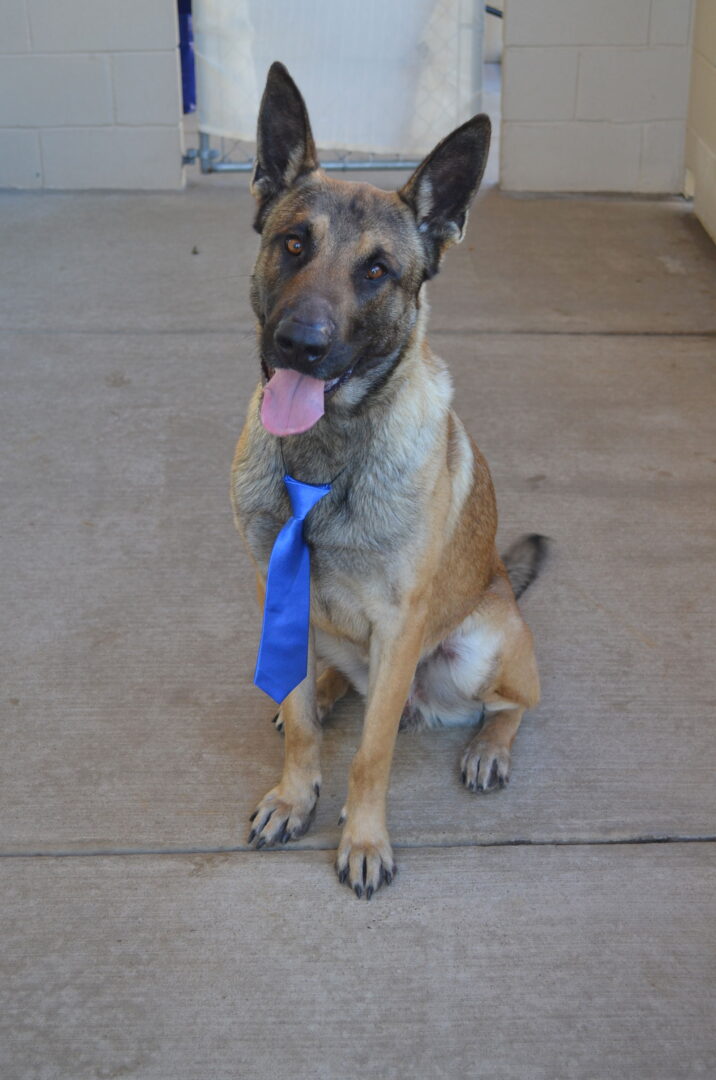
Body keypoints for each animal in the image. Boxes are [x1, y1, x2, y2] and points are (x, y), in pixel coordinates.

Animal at [231, 62, 546, 898]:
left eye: (377, 271)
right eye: (293, 243)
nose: (300, 345)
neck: (325, 458)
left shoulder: (400, 626)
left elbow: (371, 756)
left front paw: (364, 838)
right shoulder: (280, 591)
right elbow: (307, 729)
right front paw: (294, 793)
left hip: (483, 644)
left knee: (513, 702)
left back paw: (487, 745)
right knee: (334, 684)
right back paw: (320, 693)